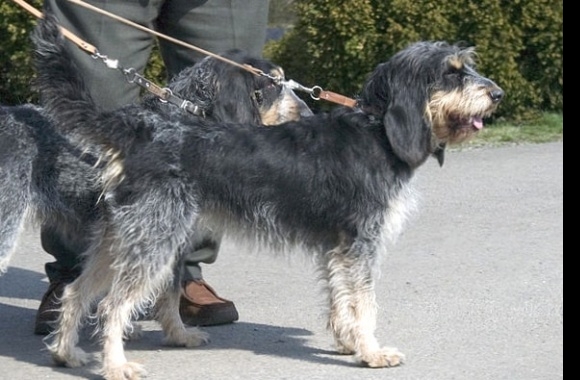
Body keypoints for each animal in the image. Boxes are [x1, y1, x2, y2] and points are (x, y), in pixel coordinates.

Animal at [27, 14, 500, 380]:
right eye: (452, 73)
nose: (498, 94)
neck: (377, 129)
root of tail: (141, 130)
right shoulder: (360, 245)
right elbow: (365, 303)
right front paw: (371, 352)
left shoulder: (338, 249)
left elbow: (340, 298)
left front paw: (348, 343)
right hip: (155, 241)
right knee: (112, 304)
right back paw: (115, 366)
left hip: (124, 237)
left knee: (77, 290)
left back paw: (67, 353)